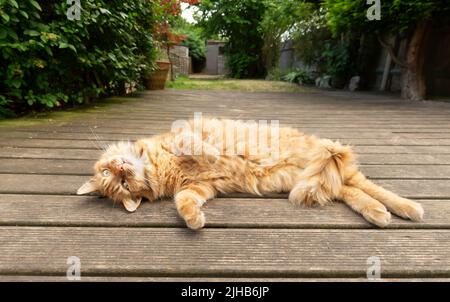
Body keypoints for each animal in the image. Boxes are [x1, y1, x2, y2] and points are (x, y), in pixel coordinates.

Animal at [78, 118, 426, 229]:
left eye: (114, 174)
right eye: (122, 184)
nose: (121, 167)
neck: (159, 166)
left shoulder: (186, 135)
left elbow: (190, 141)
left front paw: (205, 150)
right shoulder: (199, 187)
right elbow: (185, 202)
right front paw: (194, 221)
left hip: (324, 165)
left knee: (369, 187)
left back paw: (408, 208)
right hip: (322, 180)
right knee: (355, 192)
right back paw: (381, 213)